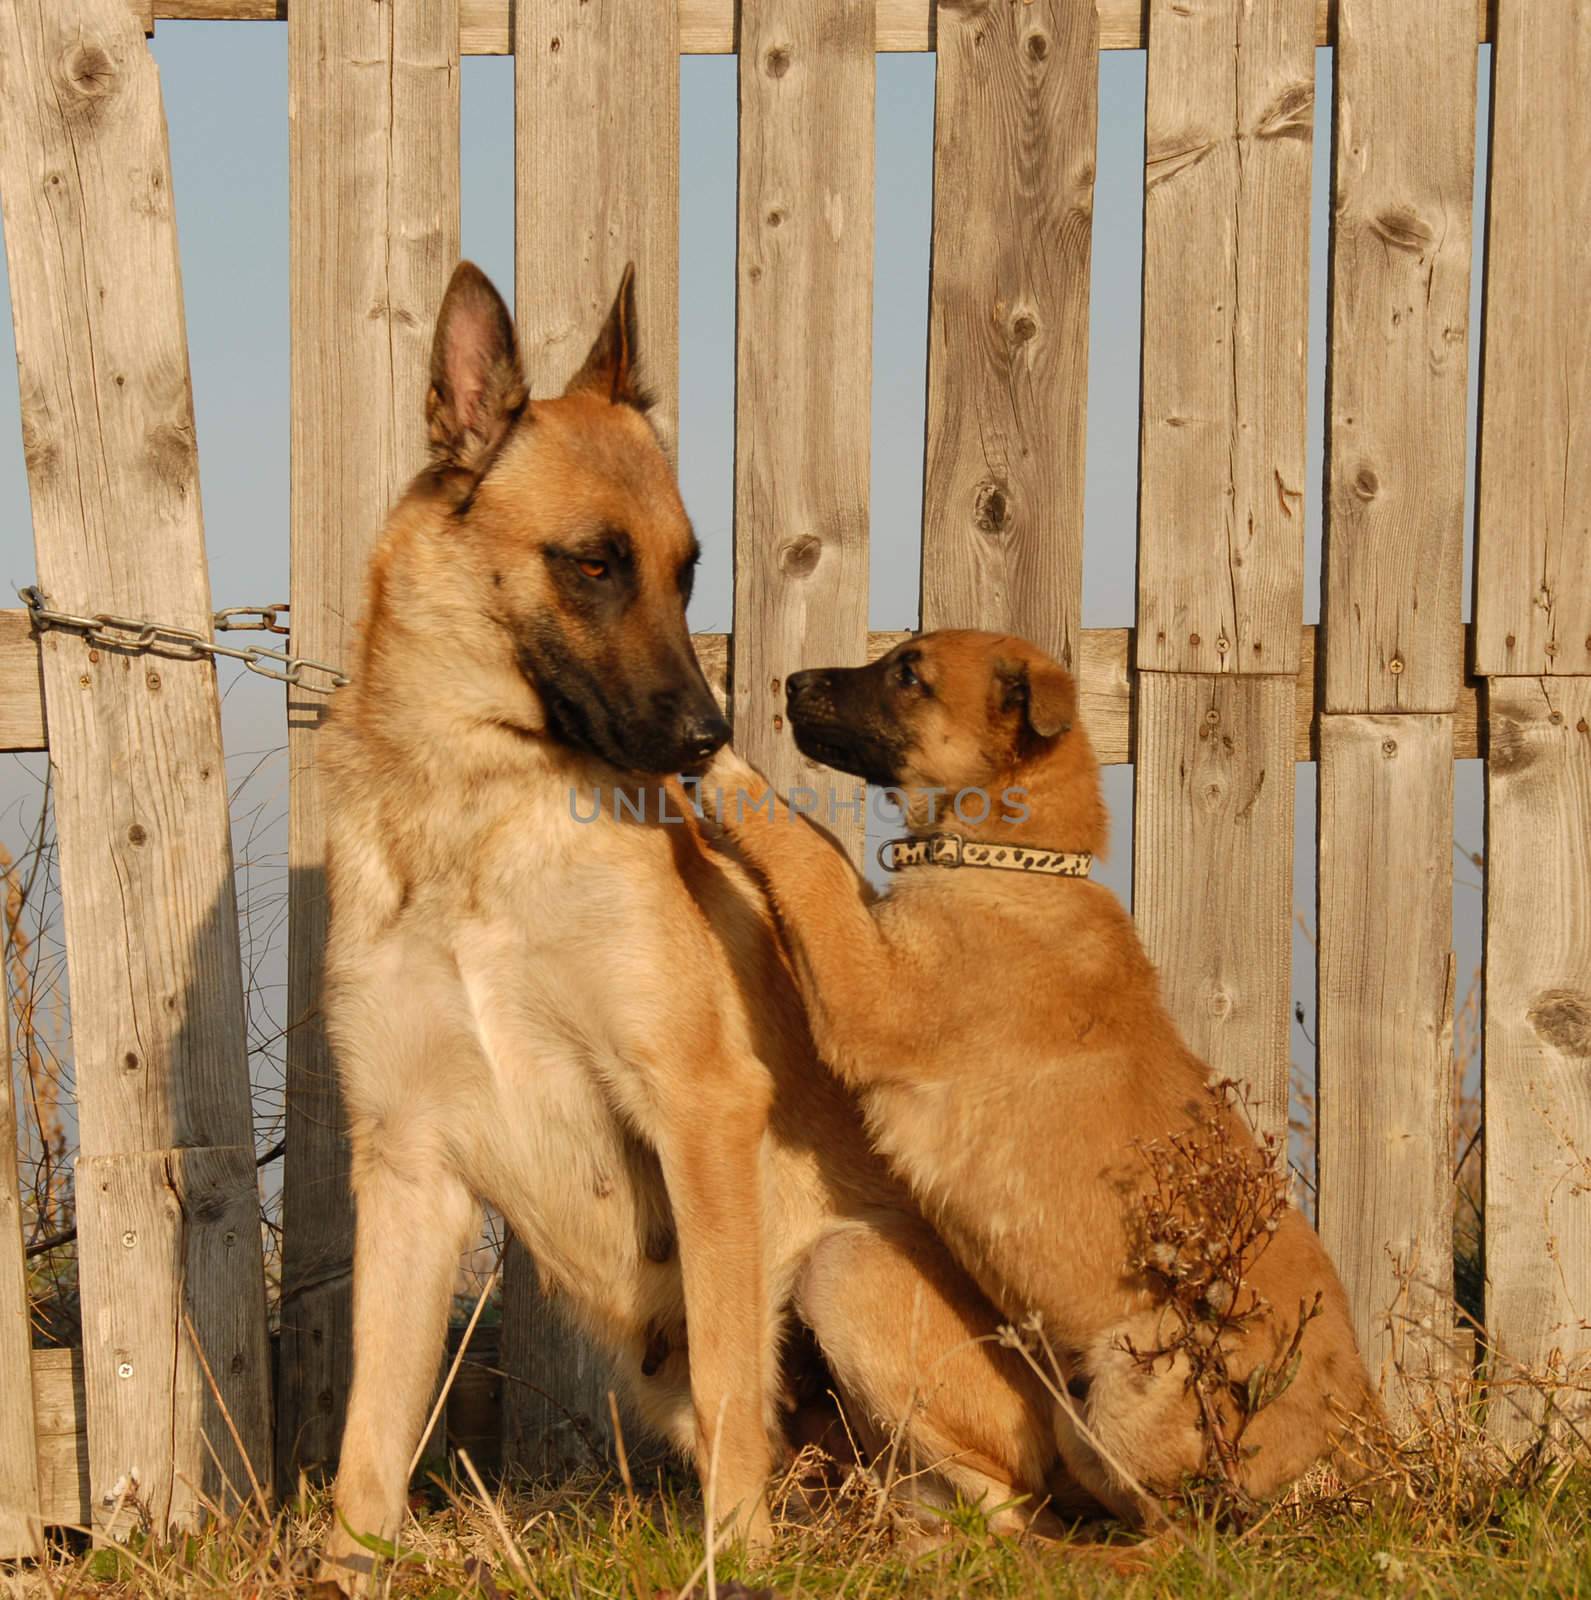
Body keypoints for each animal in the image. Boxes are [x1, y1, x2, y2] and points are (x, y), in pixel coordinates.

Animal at [313, 268, 1082, 1580]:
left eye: (686, 569)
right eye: (591, 563)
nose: (706, 740)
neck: (476, 814)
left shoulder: (700, 1109)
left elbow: (732, 1376)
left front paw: (738, 1560)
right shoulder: (407, 1168)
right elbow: (371, 1430)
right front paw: (342, 1568)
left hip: (841, 1270)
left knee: (991, 1502)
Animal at [704, 627, 1376, 1523]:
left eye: (908, 674)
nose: (791, 681)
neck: (1016, 859)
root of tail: (1353, 1418)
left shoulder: (867, 998)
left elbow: (812, 852)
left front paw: (728, 778)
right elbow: (834, 868)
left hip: (1122, 1384)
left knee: (1162, 1518)